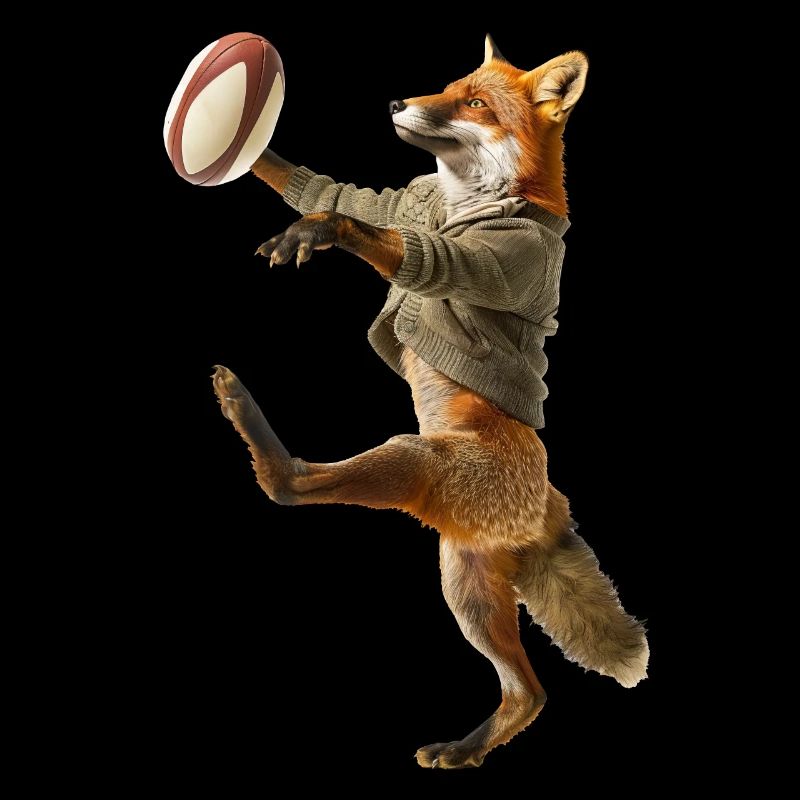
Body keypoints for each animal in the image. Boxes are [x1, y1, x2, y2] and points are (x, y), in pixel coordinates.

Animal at [212, 35, 648, 769]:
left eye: (475, 103)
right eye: (447, 87)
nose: (396, 102)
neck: (469, 203)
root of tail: (549, 503)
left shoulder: (492, 260)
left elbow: (392, 240)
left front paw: (316, 232)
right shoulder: (410, 203)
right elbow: (341, 192)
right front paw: (253, 141)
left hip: (421, 464)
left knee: (293, 485)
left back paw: (245, 412)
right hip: (464, 586)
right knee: (528, 692)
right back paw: (468, 748)